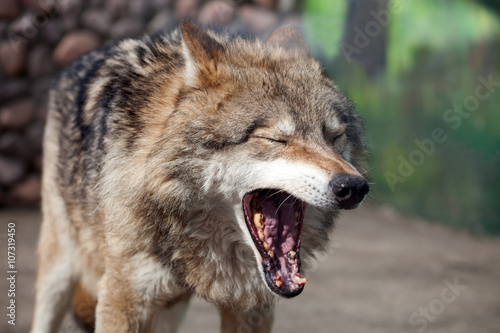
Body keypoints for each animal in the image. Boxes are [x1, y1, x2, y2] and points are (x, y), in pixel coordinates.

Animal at [30, 21, 368, 332]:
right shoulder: (123, 298)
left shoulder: (252, 306)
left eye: (334, 137)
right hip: (59, 269)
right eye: (275, 139)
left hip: (170, 310)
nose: (353, 187)